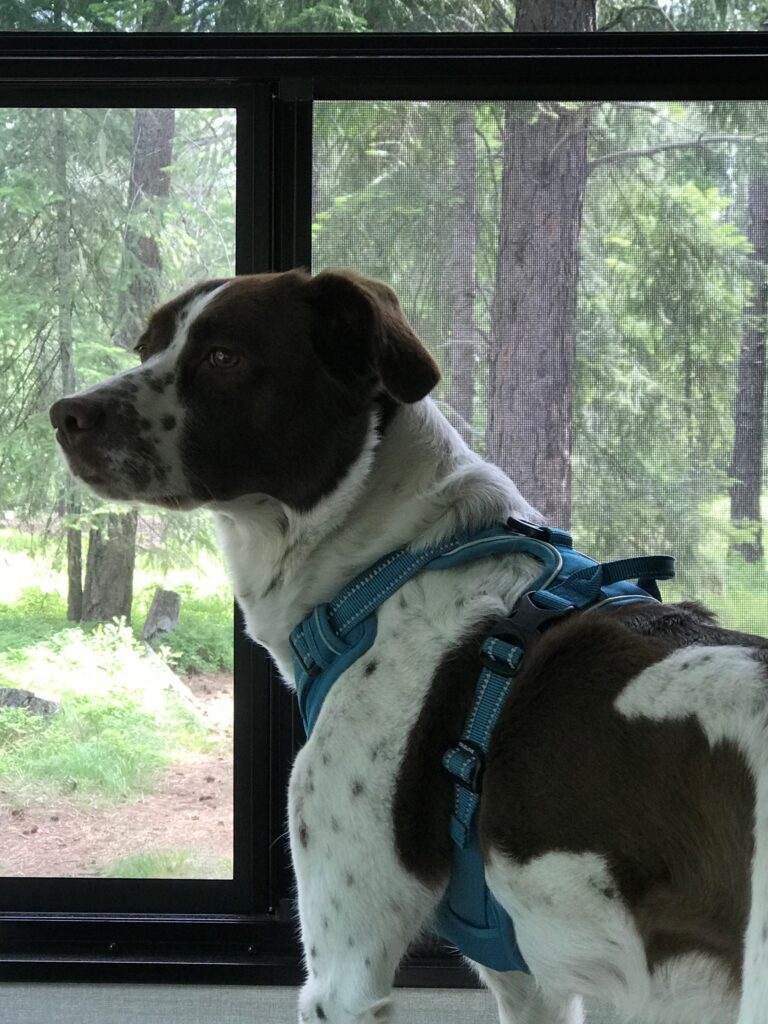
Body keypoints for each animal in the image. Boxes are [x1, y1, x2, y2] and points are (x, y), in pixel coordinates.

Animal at [51, 270, 765, 1024]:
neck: (390, 561)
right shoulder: (541, 986)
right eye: (147, 345)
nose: (64, 415)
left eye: (224, 356)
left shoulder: (346, 976)